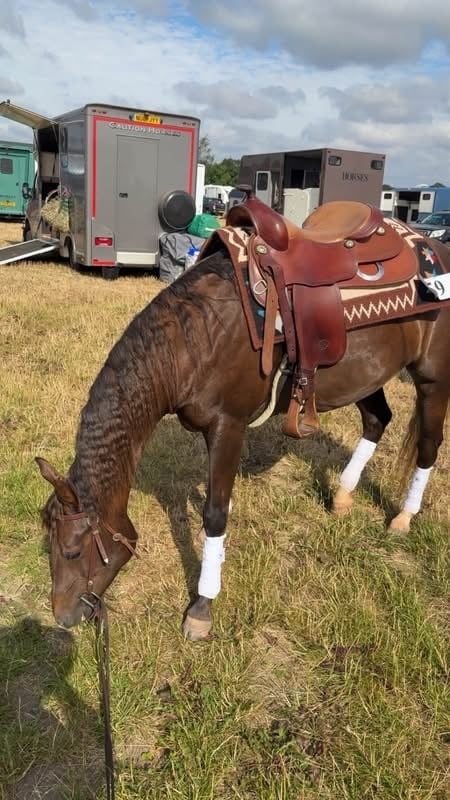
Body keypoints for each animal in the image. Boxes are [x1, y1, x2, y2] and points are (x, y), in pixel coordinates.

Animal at [37, 202, 450, 639]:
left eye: (72, 550)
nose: (63, 616)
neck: (195, 338)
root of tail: (432, 248)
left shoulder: (228, 425)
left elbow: (215, 513)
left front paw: (202, 605)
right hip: (363, 373)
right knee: (377, 420)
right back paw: (342, 496)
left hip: (432, 377)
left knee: (428, 444)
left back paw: (404, 517)